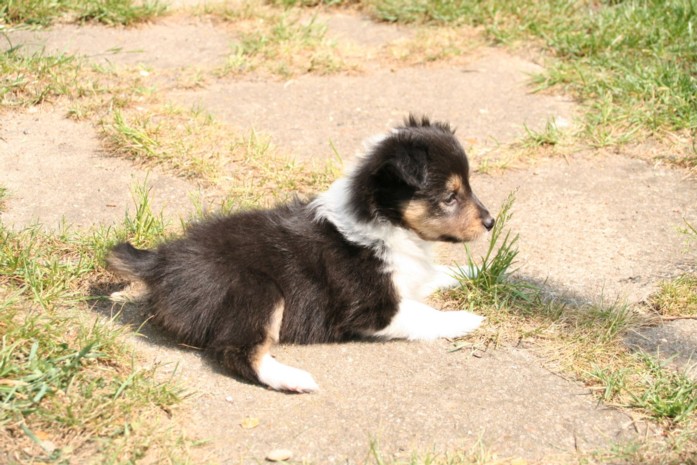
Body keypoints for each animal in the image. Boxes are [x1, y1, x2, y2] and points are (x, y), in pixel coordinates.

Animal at [106, 115, 494, 392]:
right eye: (450, 196)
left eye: (468, 186)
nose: (491, 222)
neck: (385, 223)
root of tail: (161, 260)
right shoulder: (371, 309)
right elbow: (424, 314)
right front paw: (467, 318)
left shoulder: (411, 277)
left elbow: (442, 273)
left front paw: (489, 274)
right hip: (258, 290)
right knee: (237, 352)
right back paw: (294, 379)